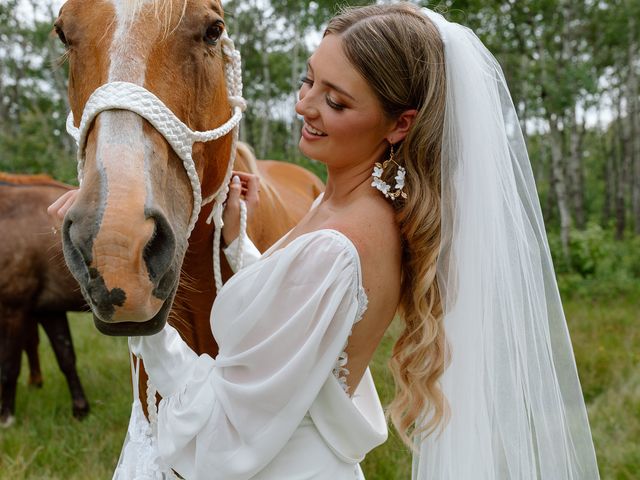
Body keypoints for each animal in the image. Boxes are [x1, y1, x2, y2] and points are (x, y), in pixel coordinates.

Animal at [0, 172, 90, 424]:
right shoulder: (48, 310)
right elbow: (66, 357)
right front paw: (80, 410)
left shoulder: (13, 308)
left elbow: (8, 366)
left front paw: (6, 417)